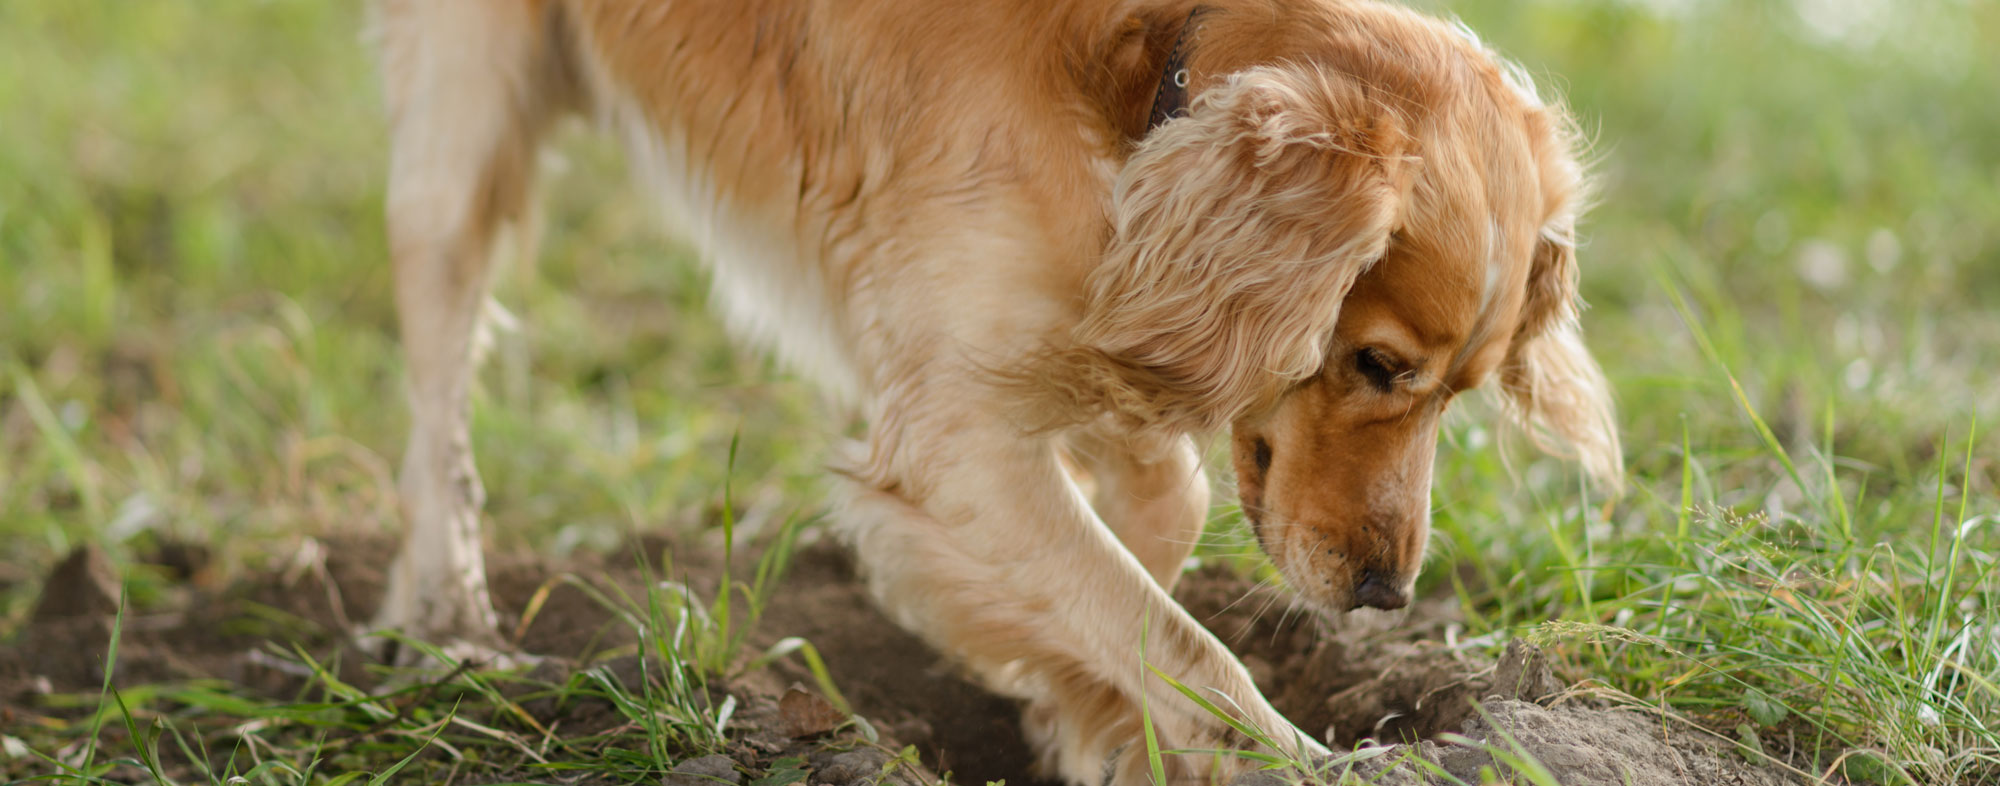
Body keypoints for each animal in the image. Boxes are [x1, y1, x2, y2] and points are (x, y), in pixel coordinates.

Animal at [372, 1, 1624, 776]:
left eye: (1461, 391)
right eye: (1375, 364)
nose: (1384, 595)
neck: (1145, 76)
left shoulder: (1086, 325)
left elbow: (1150, 537)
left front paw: (1078, 713)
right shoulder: (952, 429)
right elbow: (1181, 642)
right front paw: (1277, 758)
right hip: (461, 122)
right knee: (435, 390)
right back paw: (445, 619)